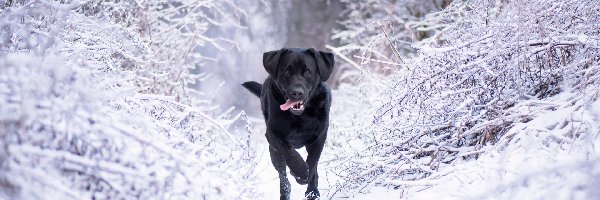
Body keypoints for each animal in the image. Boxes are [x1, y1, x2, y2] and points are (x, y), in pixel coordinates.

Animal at [244, 47, 336, 199]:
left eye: (308, 71)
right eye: (286, 71)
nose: (296, 92)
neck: (301, 117)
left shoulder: (321, 135)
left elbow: (313, 160)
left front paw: (307, 181)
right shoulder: (272, 134)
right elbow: (288, 151)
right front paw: (300, 171)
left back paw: (312, 192)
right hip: (274, 153)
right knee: (283, 178)